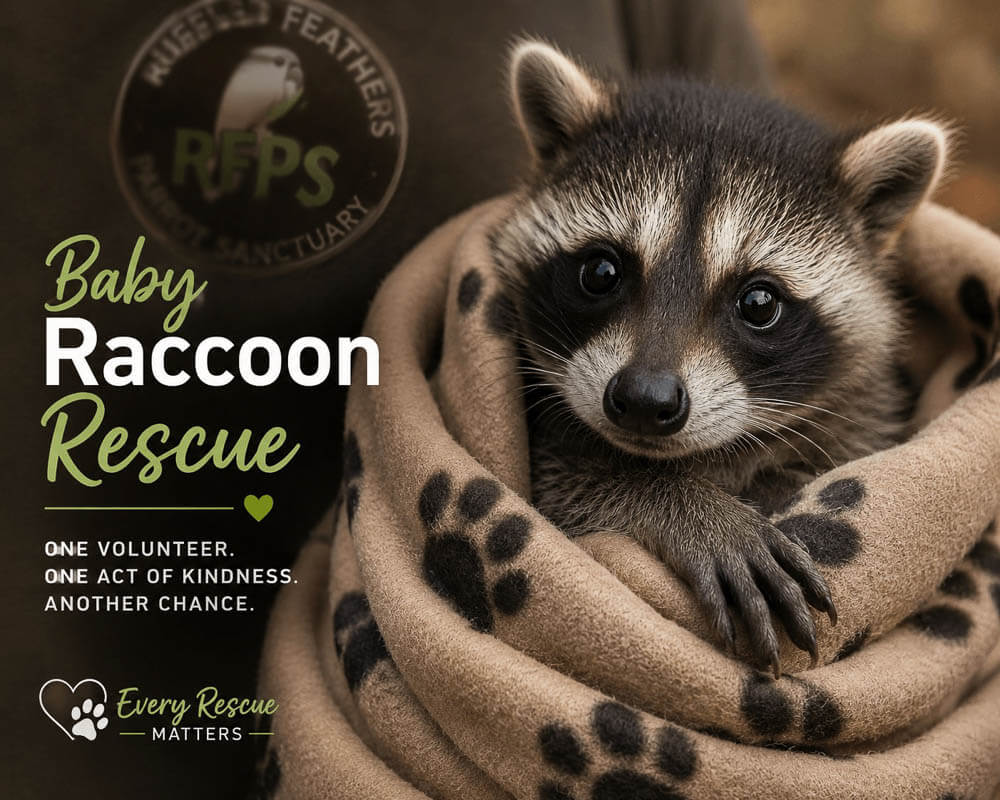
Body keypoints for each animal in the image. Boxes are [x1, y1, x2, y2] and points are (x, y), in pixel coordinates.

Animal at [490, 40, 948, 676]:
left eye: (759, 302)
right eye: (601, 271)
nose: (643, 399)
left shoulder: (865, 411)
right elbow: (556, 487)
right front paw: (685, 506)